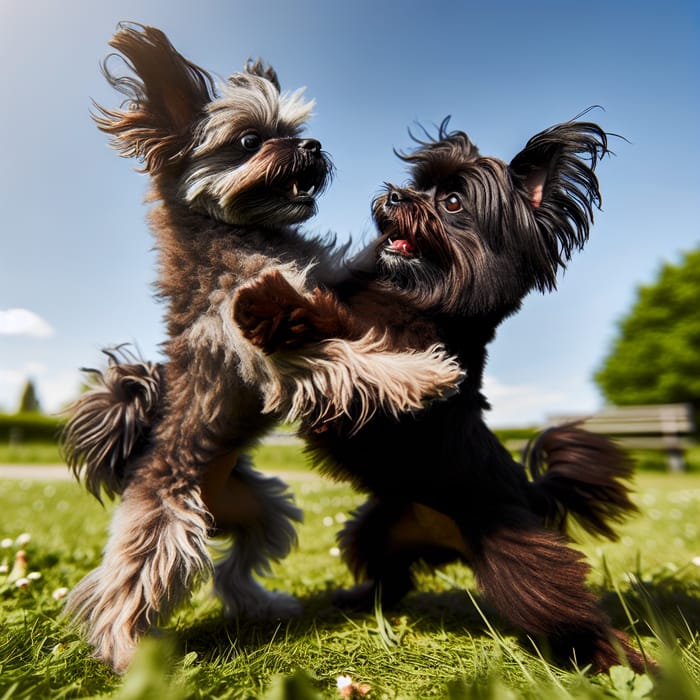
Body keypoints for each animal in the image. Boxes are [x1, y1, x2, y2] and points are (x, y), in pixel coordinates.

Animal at [61, 26, 464, 672]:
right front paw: (424, 375)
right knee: (125, 588)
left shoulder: (319, 279)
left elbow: (346, 269)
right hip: (167, 526)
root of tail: (142, 461)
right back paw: (128, 655)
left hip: (263, 510)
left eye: (293, 129)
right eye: (251, 140)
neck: (244, 233)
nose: (313, 143)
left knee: (232, 570)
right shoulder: (273, 349)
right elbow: (349, 359)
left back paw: (264, 604)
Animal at [234, 119, 652, 672]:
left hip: (517, 555)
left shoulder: (401, 369)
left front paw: (267, 302)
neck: (419, 300)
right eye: (422, 186)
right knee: (393, 578)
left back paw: (625, 660)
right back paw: (356, 599)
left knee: (568, 611)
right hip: (379, 528)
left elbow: (338, 325)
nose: (395, 195)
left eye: (452, 202)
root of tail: (529, 493)